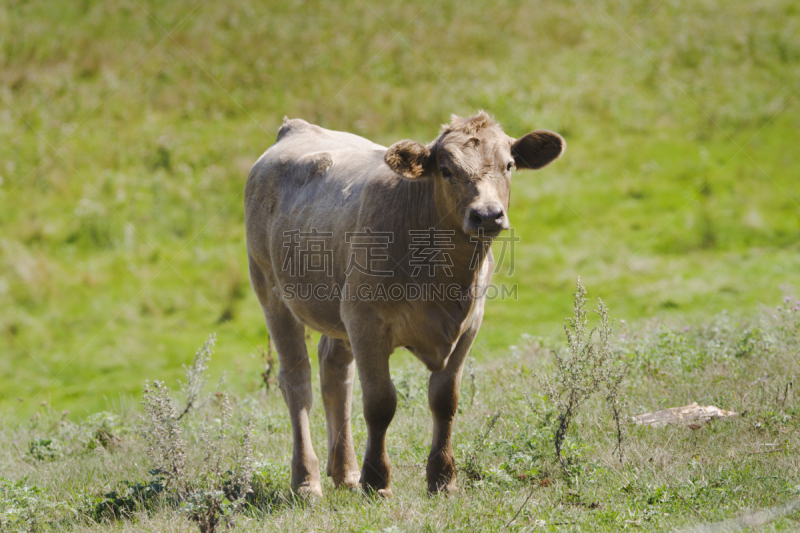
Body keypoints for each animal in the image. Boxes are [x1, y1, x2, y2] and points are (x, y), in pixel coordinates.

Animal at [244, 112, 564, 498]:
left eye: (509, 165)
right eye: (446, 169)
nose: (488, 215)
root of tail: (296, 127)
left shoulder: (469, 324)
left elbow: (445, 400)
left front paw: (442, 478)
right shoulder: (366, 321)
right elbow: (380, 402)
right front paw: (376, 480)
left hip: (339, 309)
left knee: (335, 374)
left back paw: (345, 473)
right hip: (271, 289)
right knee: (297, 382)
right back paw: (308, 481)